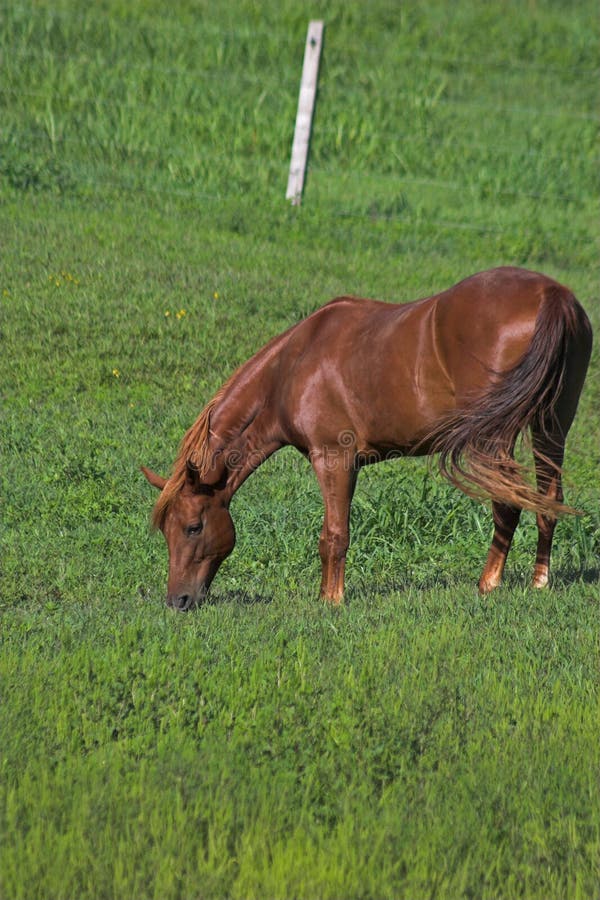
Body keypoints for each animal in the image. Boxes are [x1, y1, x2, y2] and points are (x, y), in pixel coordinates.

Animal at [143, 264, 592, 608]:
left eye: (193, 527)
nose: (178, 601)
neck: (292, 367)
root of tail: (551, 294)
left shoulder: (334, 459)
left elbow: (333, 535)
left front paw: (331, 600)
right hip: (551, 425)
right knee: (548, 500)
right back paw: (539, 581)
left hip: (495, 438)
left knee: (508, 502)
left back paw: (488, 584)